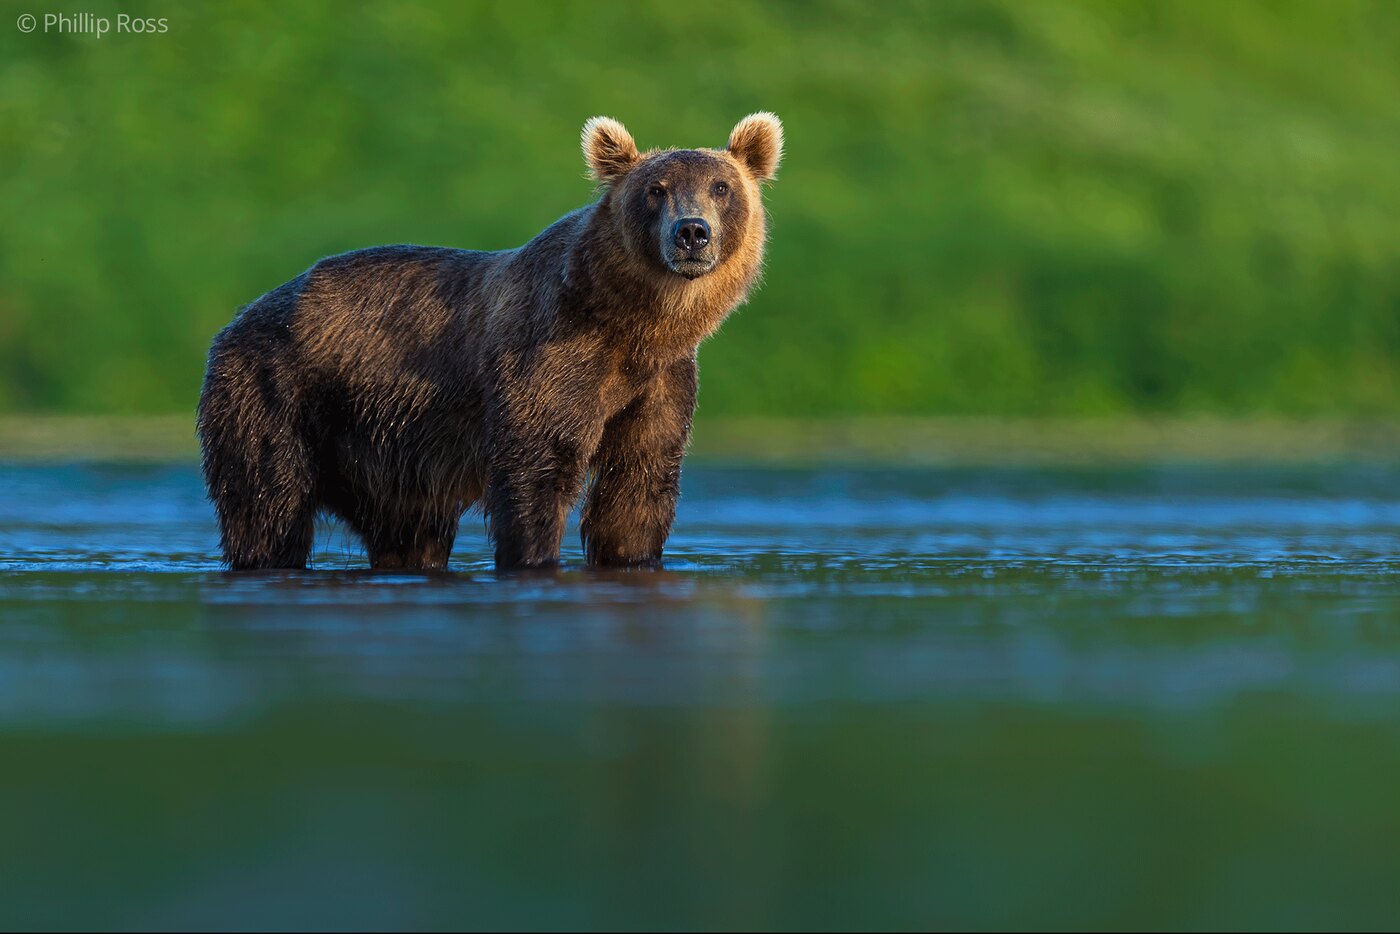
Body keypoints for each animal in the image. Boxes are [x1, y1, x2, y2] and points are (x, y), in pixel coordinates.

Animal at [196, 113, 783, 571]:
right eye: (655, 191)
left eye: (721, 187)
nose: (692, 232)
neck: (631, 326)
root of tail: (235, 321)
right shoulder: (549, 357)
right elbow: (537, 472)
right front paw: (535, 554)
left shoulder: (659, 383)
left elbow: (638, 487)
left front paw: (628, 550)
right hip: (279, 395)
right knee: (269, 506)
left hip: (389, 456)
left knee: (410, 533)